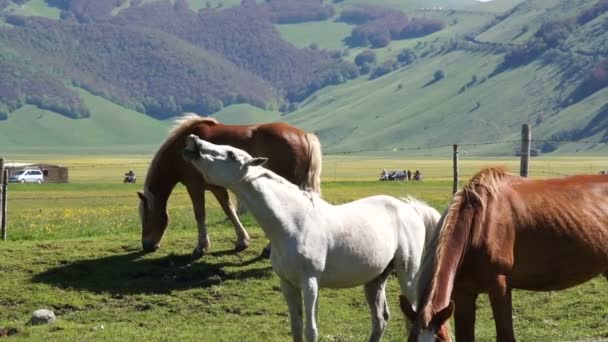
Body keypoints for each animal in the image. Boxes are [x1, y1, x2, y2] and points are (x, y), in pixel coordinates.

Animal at [137, 113, 324, 258]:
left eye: (146, 217)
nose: (147, 246)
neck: (178, 152)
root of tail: (305, 135)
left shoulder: (194, 187)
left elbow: (200, 214)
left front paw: (201, 247)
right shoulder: (216, 187)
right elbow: (229, 210)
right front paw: (242, 241)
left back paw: (269, 249)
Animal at [182, 136, 442, 342]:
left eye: (231, 154)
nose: (193, 141)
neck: (295, 223)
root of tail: (410, 208)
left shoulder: (310, 283)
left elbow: (311, 331)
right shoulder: (288, 285)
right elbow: (296, 328)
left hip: (408, 274)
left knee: (410, 318)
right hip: (375, 280)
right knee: (381, 320)